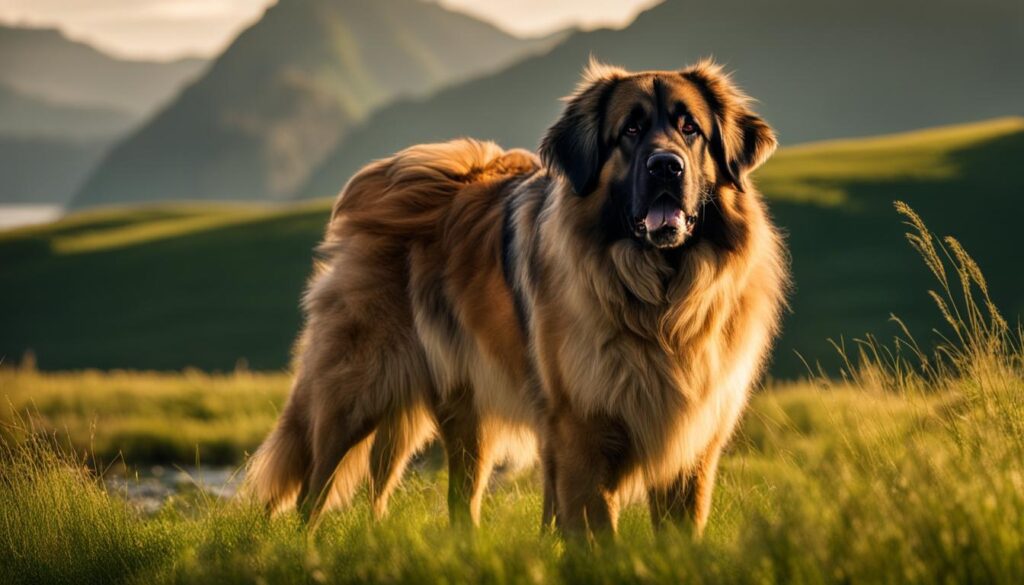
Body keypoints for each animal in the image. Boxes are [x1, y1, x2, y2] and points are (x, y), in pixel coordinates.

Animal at [249, 59, 790, 536]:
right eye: (630, 131)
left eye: (690, 129)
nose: (666, 168)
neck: (658, 298)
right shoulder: (582, 433)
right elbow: (598, 534)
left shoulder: (690, 444)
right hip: (355, 396)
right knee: (313, 491)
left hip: (466, 413)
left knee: (457, 498)